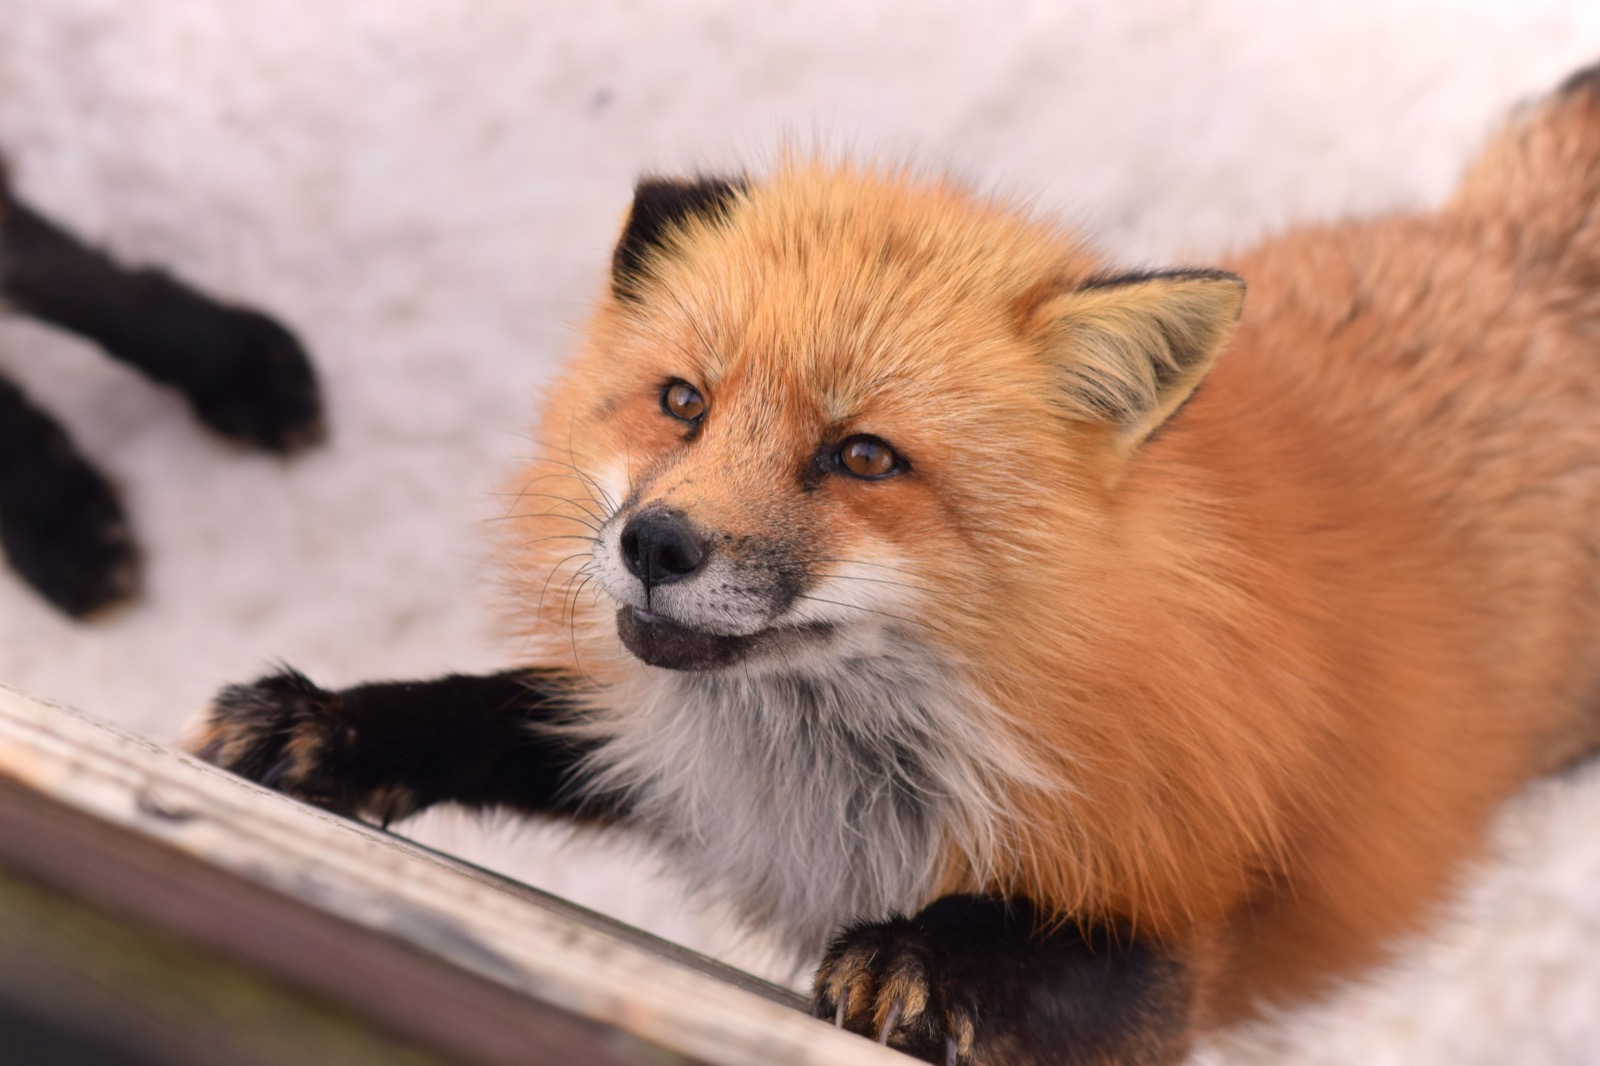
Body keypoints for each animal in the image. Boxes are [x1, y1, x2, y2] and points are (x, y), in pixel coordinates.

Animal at [190, 64, 1600, 1065]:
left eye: (863, 456)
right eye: (683, 402)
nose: (654, 543)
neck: (836, 776)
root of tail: (1519, 272)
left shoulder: (1187, 931)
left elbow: (1067, 947)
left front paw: (931, 959)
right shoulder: (670, 750)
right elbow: (496, 708)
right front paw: (331, 725)